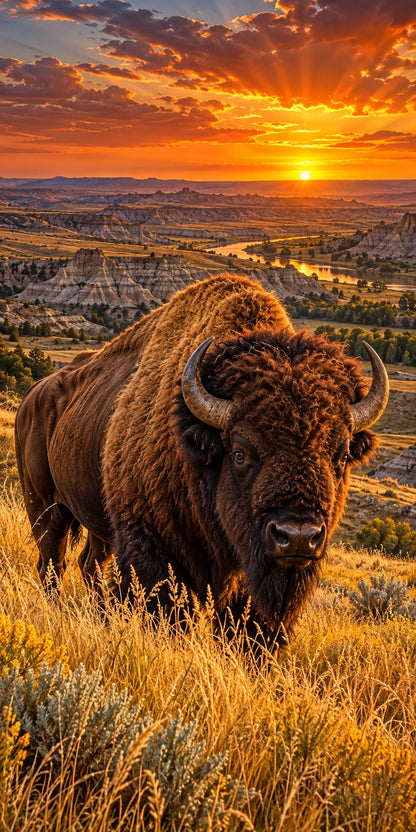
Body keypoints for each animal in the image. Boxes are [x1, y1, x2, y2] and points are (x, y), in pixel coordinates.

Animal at [15, 274, 388, 642]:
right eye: (240, 453)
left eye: (340, 456)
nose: (297, 536)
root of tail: (31, 396)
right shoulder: (153, 547)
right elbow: (171, 615)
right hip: (44, 507)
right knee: (52, 562)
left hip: (97, 522)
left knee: (89, 563)